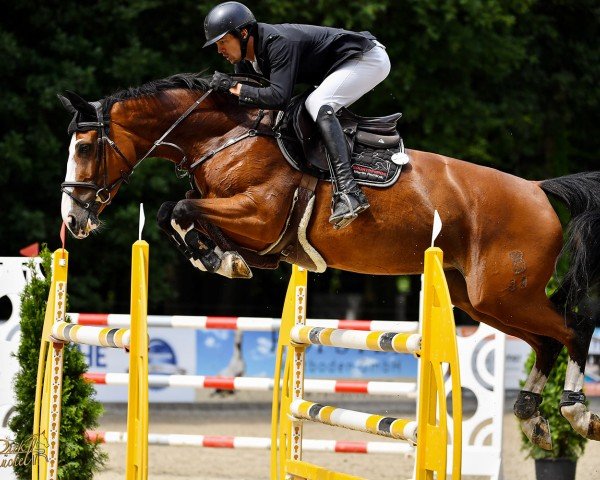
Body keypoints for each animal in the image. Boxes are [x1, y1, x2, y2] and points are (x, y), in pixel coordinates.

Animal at [57, 72, 600, 450]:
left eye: (84, 146)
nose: (73, 220)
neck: (223, 138)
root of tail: (538, 189)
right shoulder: (260, 238)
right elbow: (179, 212)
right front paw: (219, 257)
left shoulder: (259, 216)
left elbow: (180, 208)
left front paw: (217, 257)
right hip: (482, 300)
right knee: (547, 342)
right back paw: (534, 417)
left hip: (506, 293)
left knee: (573, 327)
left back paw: (575, 413)